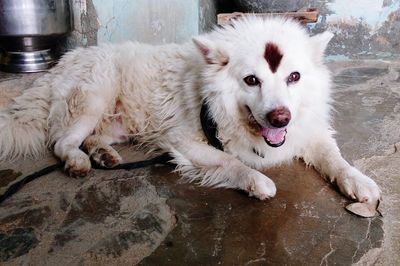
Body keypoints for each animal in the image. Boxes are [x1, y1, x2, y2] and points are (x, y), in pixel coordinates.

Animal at [0, 16, 382, 204]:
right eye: (251, 80)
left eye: (294, 77)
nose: (280, 118)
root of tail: (62, 63)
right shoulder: (183, 141)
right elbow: (230, 162)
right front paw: (256, 181)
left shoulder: (309, 131)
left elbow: (335, 158)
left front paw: (358, 180)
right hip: (94, 97)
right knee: (61, 141)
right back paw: (79, 161)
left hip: (114, 121)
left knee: (89, 137)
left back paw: (102, 154)